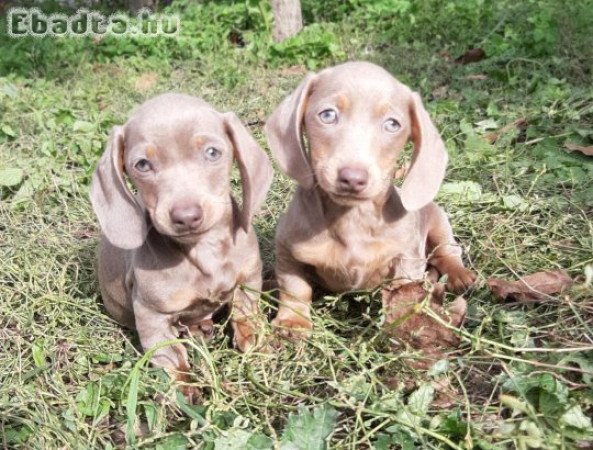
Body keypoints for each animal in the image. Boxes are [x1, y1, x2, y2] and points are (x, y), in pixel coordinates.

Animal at [90, 93, 272, 388]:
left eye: (212, 152)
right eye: (142, 164)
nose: (186, 217)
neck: (203, 250)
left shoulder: (249, 280)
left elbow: (246, 315)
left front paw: (258, 346)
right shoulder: (151, 316)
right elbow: (170, 360)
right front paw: (184, 391)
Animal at [266, 62, 474, 338]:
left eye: (393, 124)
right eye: (327, 115)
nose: (352, 178)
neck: (352, 217)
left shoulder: (407, 259)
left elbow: (403, 294)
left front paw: (404, 325)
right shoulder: (287, 253)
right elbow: (295, 289)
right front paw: (293, 321)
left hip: (439, 221)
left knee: (447, 251)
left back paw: (459, 274)